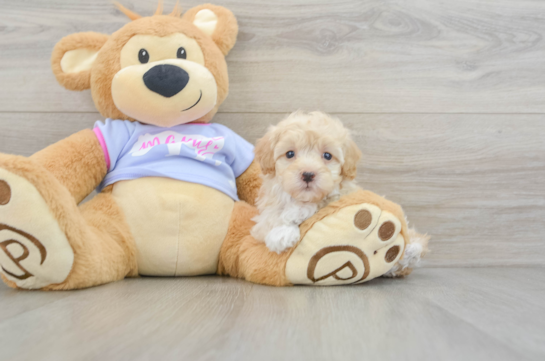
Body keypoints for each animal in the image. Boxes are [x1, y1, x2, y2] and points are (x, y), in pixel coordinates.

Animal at [251, 110, 362, 253]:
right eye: (290, 154)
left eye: (327, 155)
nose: (308, 175)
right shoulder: (265, 214)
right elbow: (270, 218)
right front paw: (282, 233)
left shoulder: (344, 194)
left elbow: (323, 200)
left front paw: (295, 214)